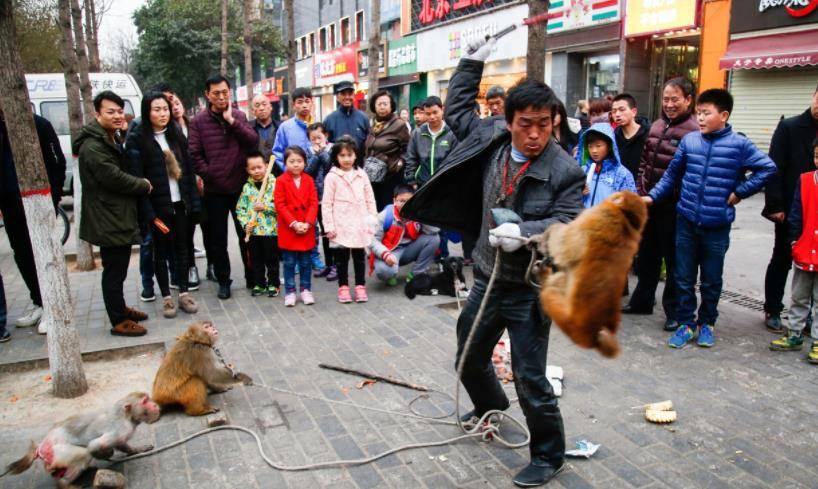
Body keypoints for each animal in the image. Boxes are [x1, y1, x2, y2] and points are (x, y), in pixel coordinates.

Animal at [1, 390, 159, 486]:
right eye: (145, 401)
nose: (154, 404)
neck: (127, 416)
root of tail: (42, 445)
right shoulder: (121, 428)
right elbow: (95, 445)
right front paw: (107, 454)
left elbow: (121, 444)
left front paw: (137, 450)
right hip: (59, 450)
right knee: (83, 454)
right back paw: (65, 484)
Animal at [528, 192, 644, 358]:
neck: (627, 221)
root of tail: (595, 336)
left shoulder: (599, 214)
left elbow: (564, 243)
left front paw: (544, 237)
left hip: (565, 317)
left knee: (554, 285)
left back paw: (544, 276)